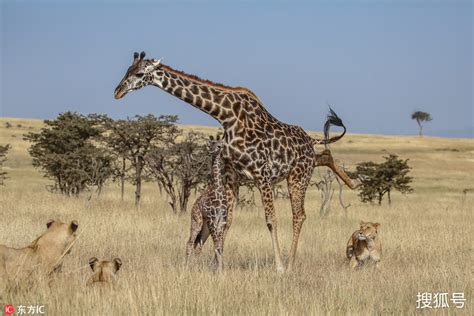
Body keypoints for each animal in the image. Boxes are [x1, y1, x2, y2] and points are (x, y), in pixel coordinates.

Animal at [185, 136, 228, 272]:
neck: (218, 191)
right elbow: (217, 246)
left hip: (205, 229)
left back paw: (196, 267)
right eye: (213, 143)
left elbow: (220, 247)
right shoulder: (212, 220)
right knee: (190, 243)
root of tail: (193, 207)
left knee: (198, 246)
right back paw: (187, 267)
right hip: (197, 222)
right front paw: (219, 270)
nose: (220, 147)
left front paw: (221, 270)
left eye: (221, 142)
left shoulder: (221, 221)